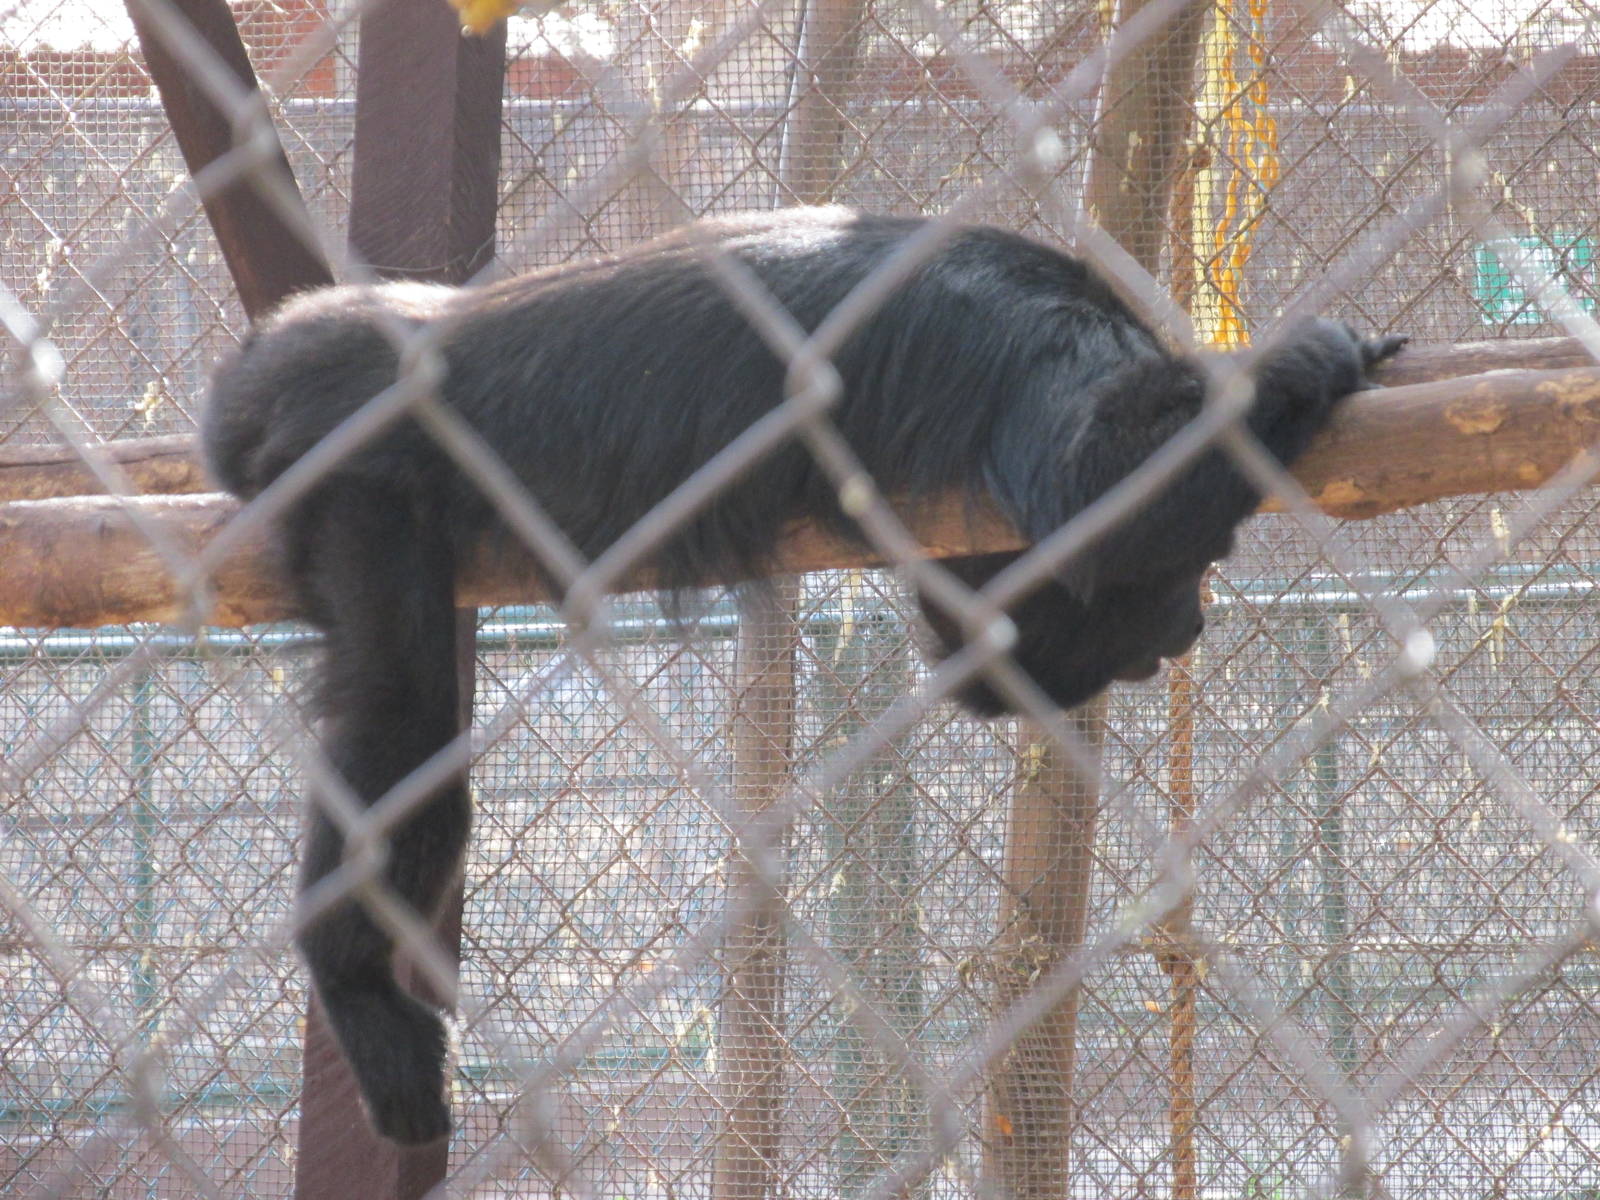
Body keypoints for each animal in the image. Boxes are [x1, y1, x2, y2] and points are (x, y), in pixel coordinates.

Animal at [202, 207, 1405, 1142]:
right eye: (1202, 559)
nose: (1191, 621)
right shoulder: (1023, 322)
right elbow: (1086, 485)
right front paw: (1307, 358)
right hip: (363, 486)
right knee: (403, 719)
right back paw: (351, 976)